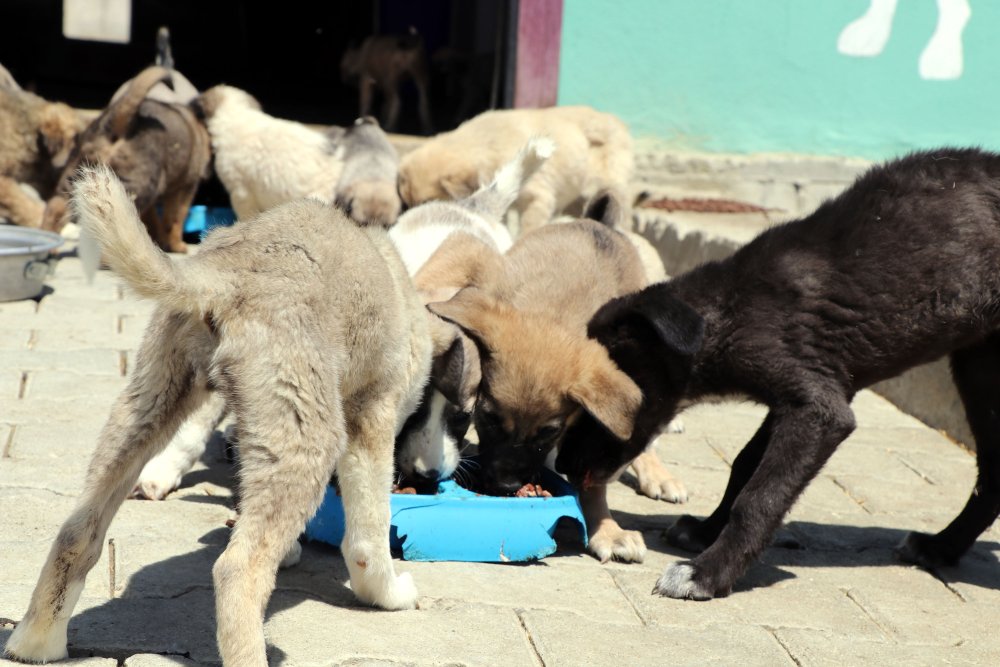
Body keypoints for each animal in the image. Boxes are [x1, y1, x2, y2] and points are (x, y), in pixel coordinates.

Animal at [5, 164, 432, 664]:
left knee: (77, 533)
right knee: (237, 571)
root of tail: (226, 274)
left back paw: (36, 643)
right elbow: (369, 531)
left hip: (149, 403)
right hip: (305, 436)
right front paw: (390, 593)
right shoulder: (373, 413)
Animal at [398, 106, 632, 235]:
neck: (487, 145)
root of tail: (617, 121)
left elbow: (526, 231)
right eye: (406, 205)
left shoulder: (539, 200)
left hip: (608, 186)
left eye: (429, 201)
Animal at [556, 149, 1000, 604]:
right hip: (980, 368)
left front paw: (706, 573)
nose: (563, 466)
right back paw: (939, 548)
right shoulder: (800, 394)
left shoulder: (819, 412)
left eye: (604, 405)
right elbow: (743, 464)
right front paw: (706, 531)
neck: (726, 311)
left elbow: (759, 497)